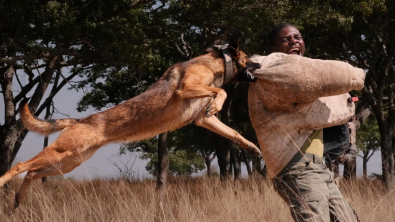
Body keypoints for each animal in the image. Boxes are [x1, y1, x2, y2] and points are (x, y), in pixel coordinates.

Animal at [1, 39, 264, 207]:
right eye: (249, 58)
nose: (261, 64)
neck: (212, 64)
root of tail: (80, 120)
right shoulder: (185, 90)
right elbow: (222, 91)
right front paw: (218, 102)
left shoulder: (202, 119)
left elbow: (235, 133)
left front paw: (252, 147)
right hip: (60, 154)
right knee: (21, 165)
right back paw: (5, 183)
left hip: (68, 162)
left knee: (32, 172)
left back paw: (18, 199)